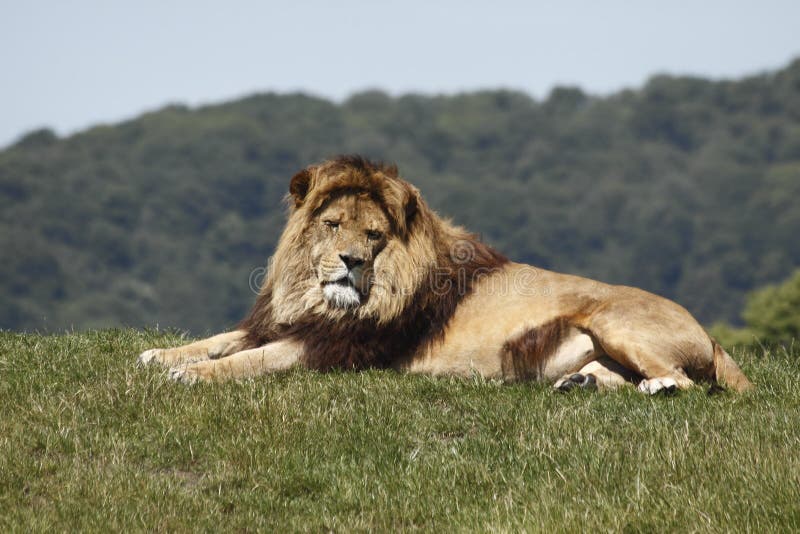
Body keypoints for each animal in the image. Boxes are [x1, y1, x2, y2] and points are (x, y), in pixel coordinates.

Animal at [134, 155, 752, 394]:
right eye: (332, 225)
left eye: (374, 236)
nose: (351, 262)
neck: (315, 297)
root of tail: (711, 336)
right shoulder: (283, 323)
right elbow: (220, 339)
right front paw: (159, 355)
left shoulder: (332, 349)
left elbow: (249, 361)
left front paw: (191, 375)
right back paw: (581, 384)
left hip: (616, 322)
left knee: (688, 383)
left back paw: (657, 387)